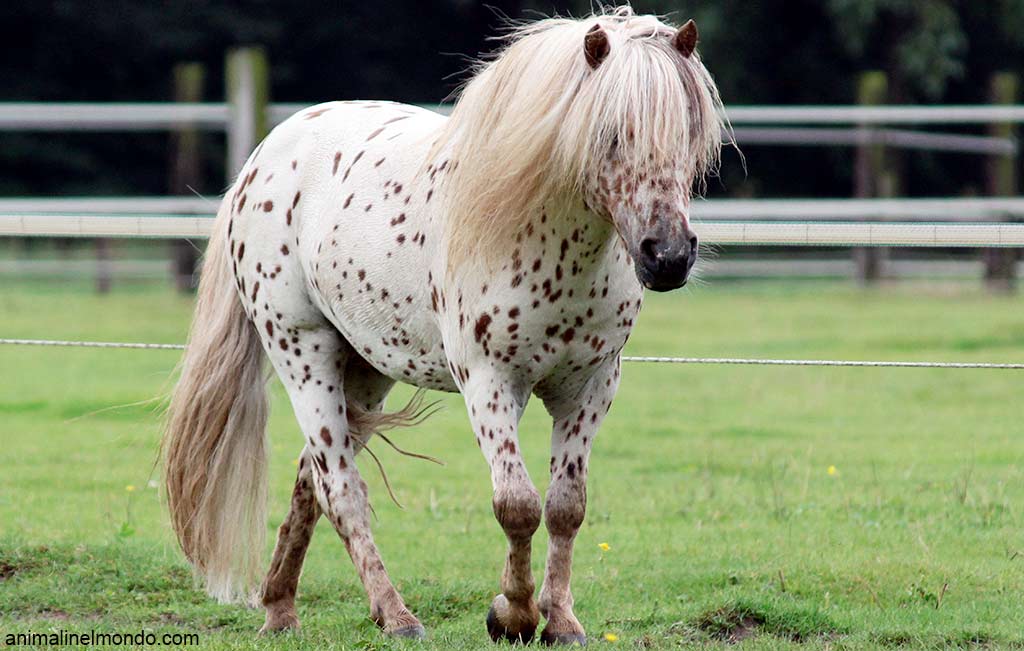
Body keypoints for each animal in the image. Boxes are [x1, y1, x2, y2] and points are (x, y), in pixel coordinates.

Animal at [163, 6, 724, 644]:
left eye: (689, 132)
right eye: (608, 132)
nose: (668, 255)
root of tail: (260, 161)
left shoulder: (591, 386)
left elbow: (565, 506)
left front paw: (561, 621)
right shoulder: (489, 382)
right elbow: (517, 505)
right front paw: (513, 614)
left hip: (363, 369)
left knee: (311, 478)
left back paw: (279, 608)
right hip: (302, 354)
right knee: (340, 488)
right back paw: (396, 616)